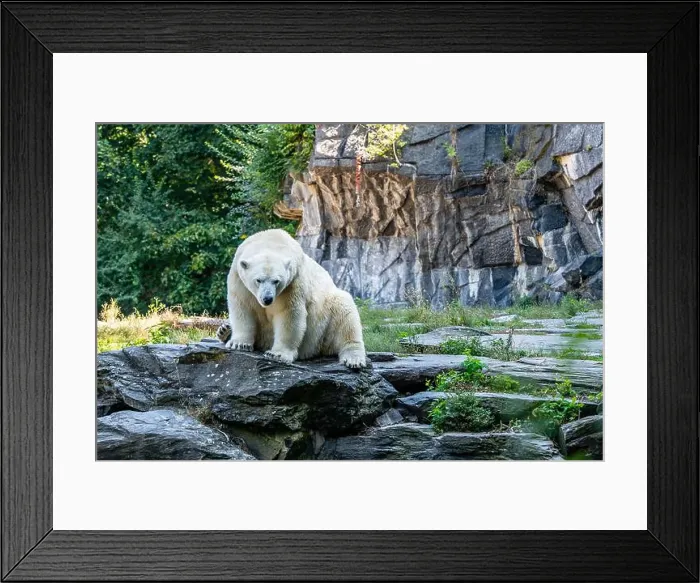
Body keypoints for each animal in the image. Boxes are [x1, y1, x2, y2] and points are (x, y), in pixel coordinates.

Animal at [216, 229, 367, 369]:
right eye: (258, 280)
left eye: (276, 281)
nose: (267, 299)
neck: (270, 240)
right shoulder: (238, 278)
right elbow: (243, 307)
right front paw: (239, 343)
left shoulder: (292, 283)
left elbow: (288, 314)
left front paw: (277, 354)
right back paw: (225, 331)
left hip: (327, 315)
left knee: (346, 315)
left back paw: (354, 359)